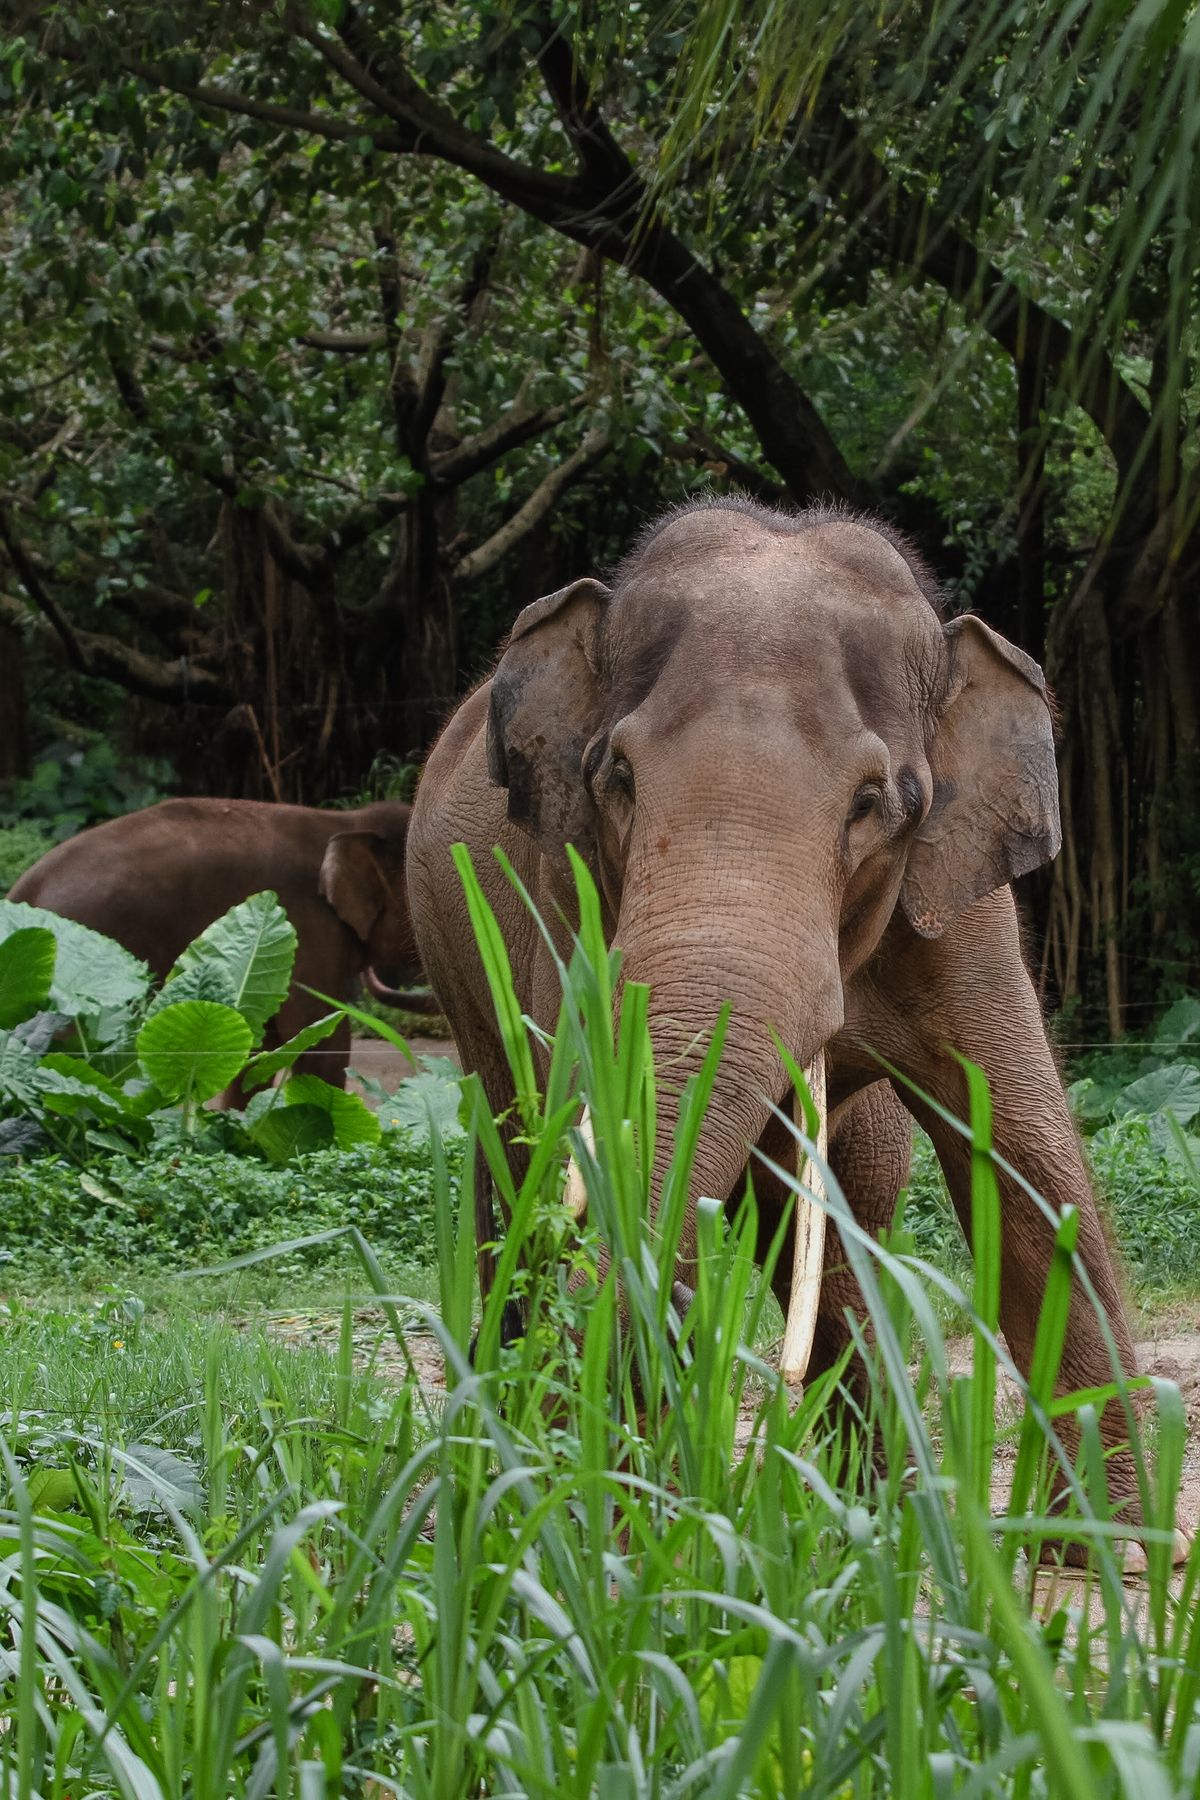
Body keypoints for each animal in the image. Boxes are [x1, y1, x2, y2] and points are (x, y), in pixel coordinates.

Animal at [407, 495, 1161, 1548]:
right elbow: (599, 1139)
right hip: (454, 960)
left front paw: (1107, 1546)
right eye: (617, 778)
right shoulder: (561, 899)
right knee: (516, 1157)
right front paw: (604, 1522)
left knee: (843, 1207)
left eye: (874, 801)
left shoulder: (962, 913)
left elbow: (1025, 1163)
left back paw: (874, 1507)